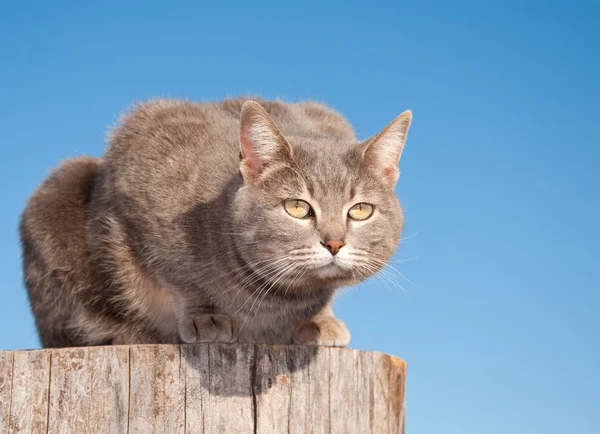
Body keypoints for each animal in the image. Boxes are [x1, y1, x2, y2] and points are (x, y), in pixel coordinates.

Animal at [19, 96, 412, 348]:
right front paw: (204, 318)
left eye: (360, 211)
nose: (334, 243)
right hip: (57, 194)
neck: (273, 299)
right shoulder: (140, 174)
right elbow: (179, 277)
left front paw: (319, 320)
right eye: (298, 207)